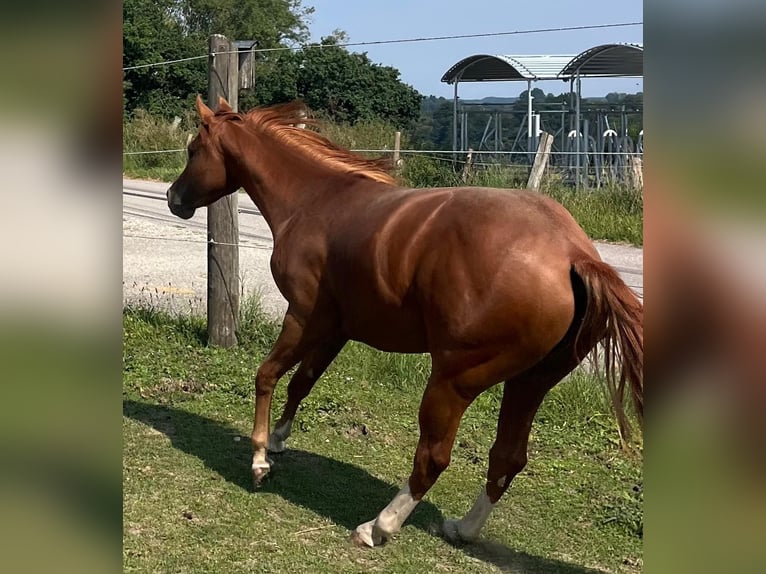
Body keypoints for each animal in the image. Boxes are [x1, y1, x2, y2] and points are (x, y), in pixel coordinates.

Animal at [167, 95, 643, 548]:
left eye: (193, 150)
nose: (173, 198)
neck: (315, 200)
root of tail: (572, 253)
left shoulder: (303, 317)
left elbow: (267, 375)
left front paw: (260, 458)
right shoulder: (337, 328)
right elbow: (303, 381)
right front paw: (281, 438)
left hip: (453, 382)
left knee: (433, 457)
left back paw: (377, 526)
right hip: (530, 383)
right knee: (507, 457)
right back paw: (462, 528)